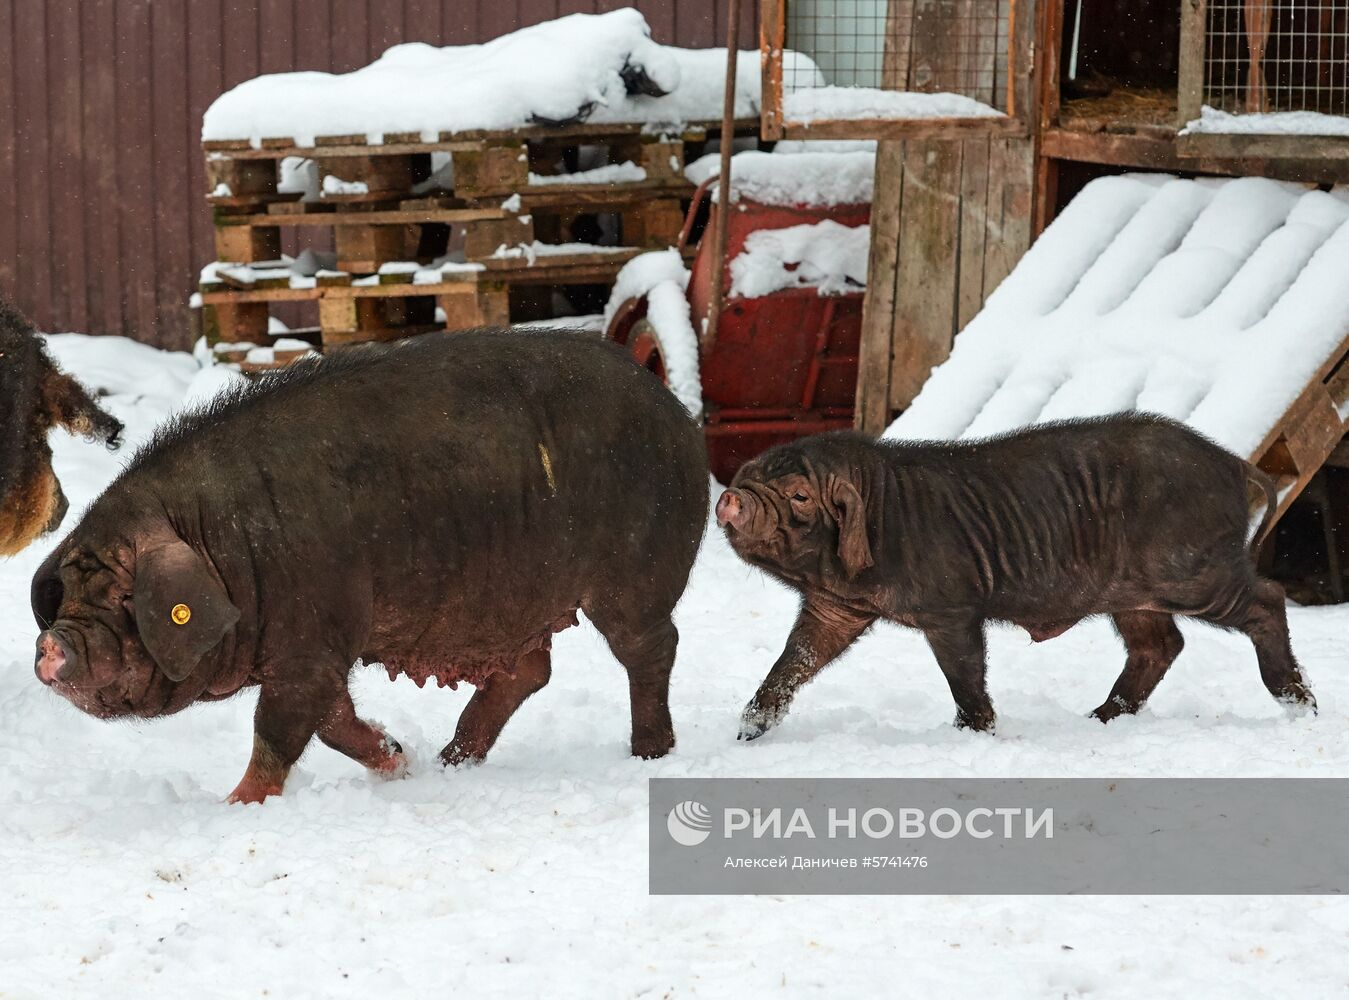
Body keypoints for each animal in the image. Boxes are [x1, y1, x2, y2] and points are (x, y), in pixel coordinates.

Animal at [29, 331, 706, 798]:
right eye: (67, 593)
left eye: (125, 597)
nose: (52, 645)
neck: (217, 543)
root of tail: (678, 414)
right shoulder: (317, 649)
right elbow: (331, 721)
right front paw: (398, 759)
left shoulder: (312, 634)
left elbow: (280, 728)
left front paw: (237, 804)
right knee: (529, 670)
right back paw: (450, 762)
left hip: (636, 575)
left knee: (651, 647)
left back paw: (648, 754)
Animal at [717, 415, 1316, 739]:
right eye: (747, 474)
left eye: (799, 496)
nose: (730, 498)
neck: (885, 516)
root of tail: (1233, 463)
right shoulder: (836, 607)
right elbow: (795, 659)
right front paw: (747, 731)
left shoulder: (952, 606)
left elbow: (963, 673)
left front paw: (973, 733)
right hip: (1134, 596)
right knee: (1161, 644)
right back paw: (1098, 719)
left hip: (1190, 569)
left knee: (1268, 598)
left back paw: (1301, 706)